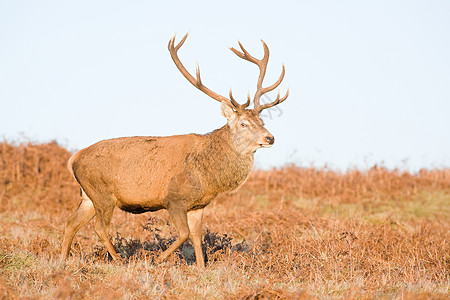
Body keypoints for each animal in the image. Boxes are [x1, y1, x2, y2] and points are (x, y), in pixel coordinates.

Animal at [59, 33, 288, 270]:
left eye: (262, 121)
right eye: (243, 124)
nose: (270, 138)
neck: (208, 176)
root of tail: (73, 158)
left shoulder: (198, 205)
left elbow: (196, 236)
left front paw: (201, 267)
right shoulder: (174, 199)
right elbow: (184, 233)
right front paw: (157, 259)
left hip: (88, 196)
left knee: (70, 223)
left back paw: (62, 261)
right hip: (103, 193)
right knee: (99, 227)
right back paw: (120, 259)